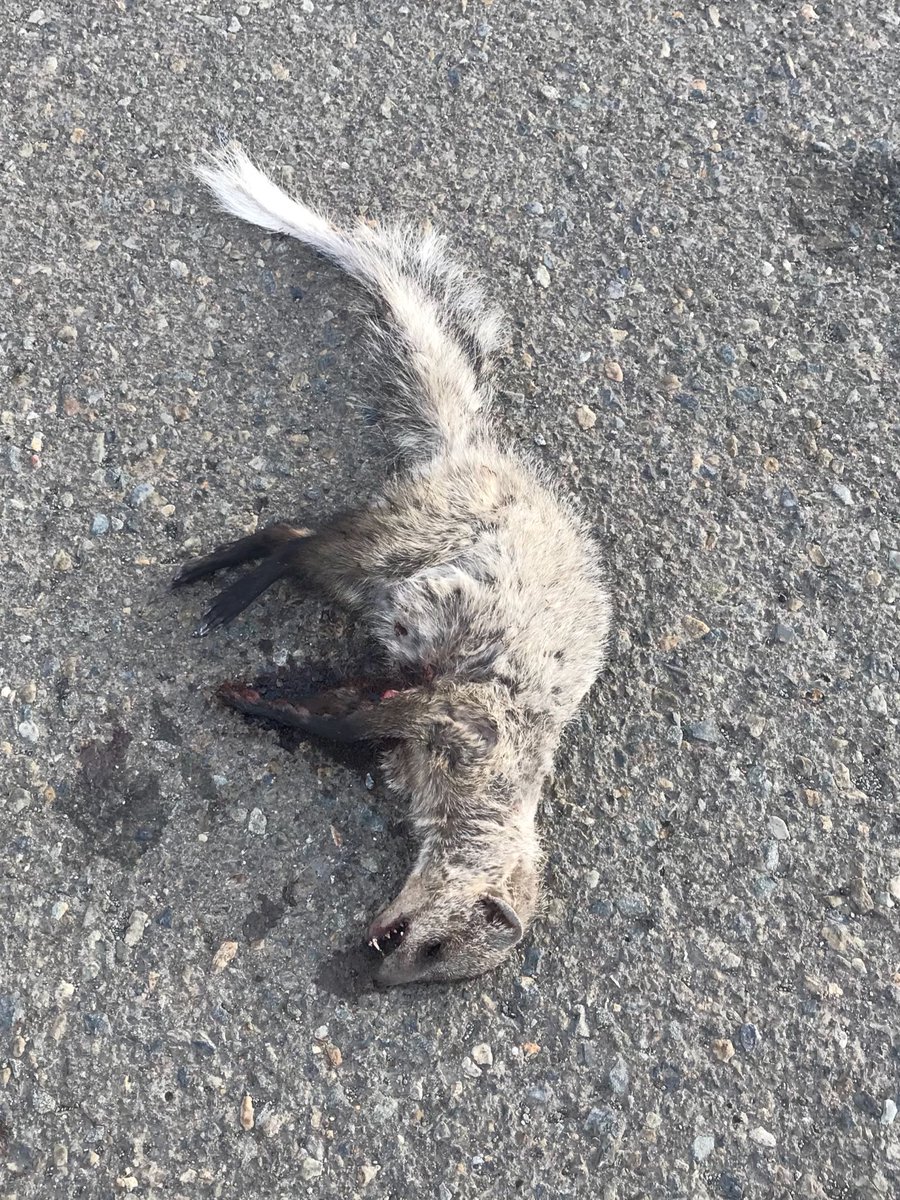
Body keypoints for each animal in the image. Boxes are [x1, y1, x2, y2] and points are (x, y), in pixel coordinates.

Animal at [174, 147, 612, 986]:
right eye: (438, 946)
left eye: (440, 971)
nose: (377, 977)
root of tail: (470, 449)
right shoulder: (455, 712)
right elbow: (352, 715)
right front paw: (254, 699)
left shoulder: (402, 715)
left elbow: (341, 713)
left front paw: (263, 697)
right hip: (408, 543)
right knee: (295, 541)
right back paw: (223, 588)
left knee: (295, 534)